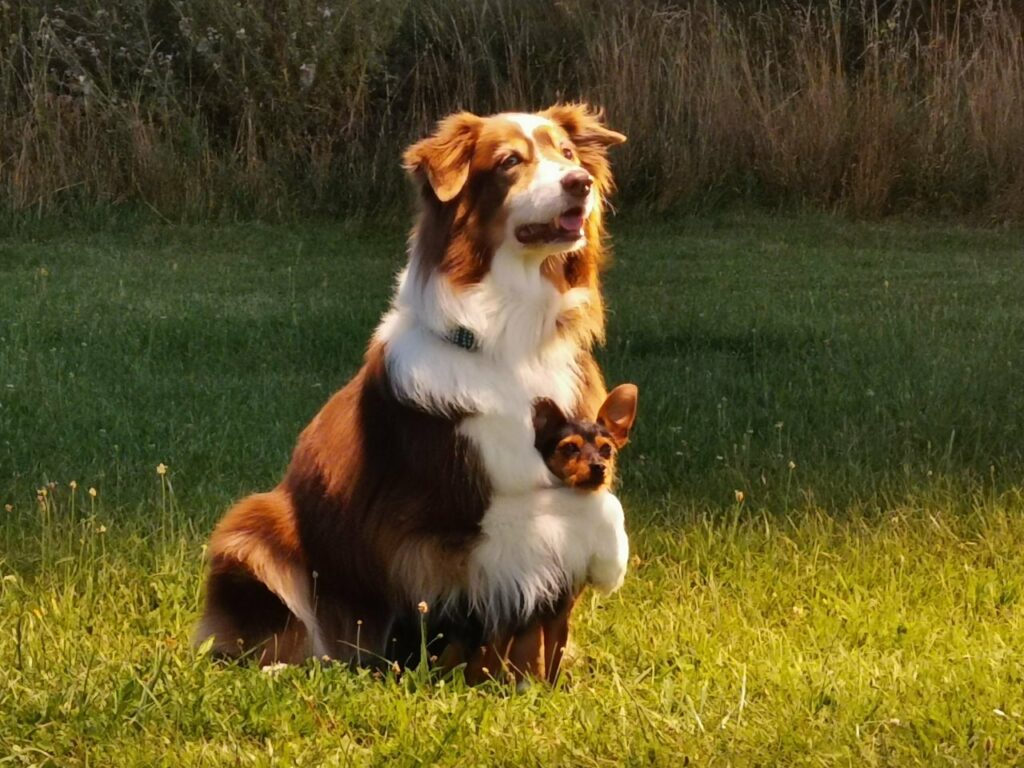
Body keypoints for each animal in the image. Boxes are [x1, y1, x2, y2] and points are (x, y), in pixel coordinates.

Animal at [191, 103, 622, 684]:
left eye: (570, 154)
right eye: (510, 161)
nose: (580, 184)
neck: (510, 341)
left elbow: (595, 506)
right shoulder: (448, 513)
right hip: (251, 527)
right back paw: (283, 668)